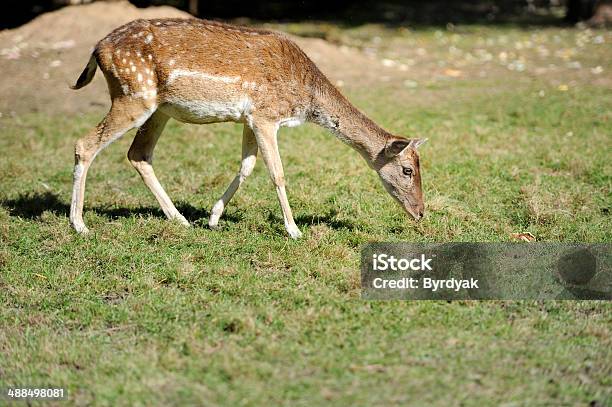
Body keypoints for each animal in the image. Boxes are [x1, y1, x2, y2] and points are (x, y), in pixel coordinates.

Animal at [69, 18, 428, 239]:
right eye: (408, 170)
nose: (421, 212)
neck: (305, 99)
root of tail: (97, 50)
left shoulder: (249, 118)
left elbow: (246, 166)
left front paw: (213, 218)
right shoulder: (266, 116)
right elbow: (277, 173)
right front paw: (294, 230)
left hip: (158, 108)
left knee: (138, 154)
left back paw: (181, 219)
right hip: (133, 95)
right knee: (85, 144)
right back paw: (79, 224)